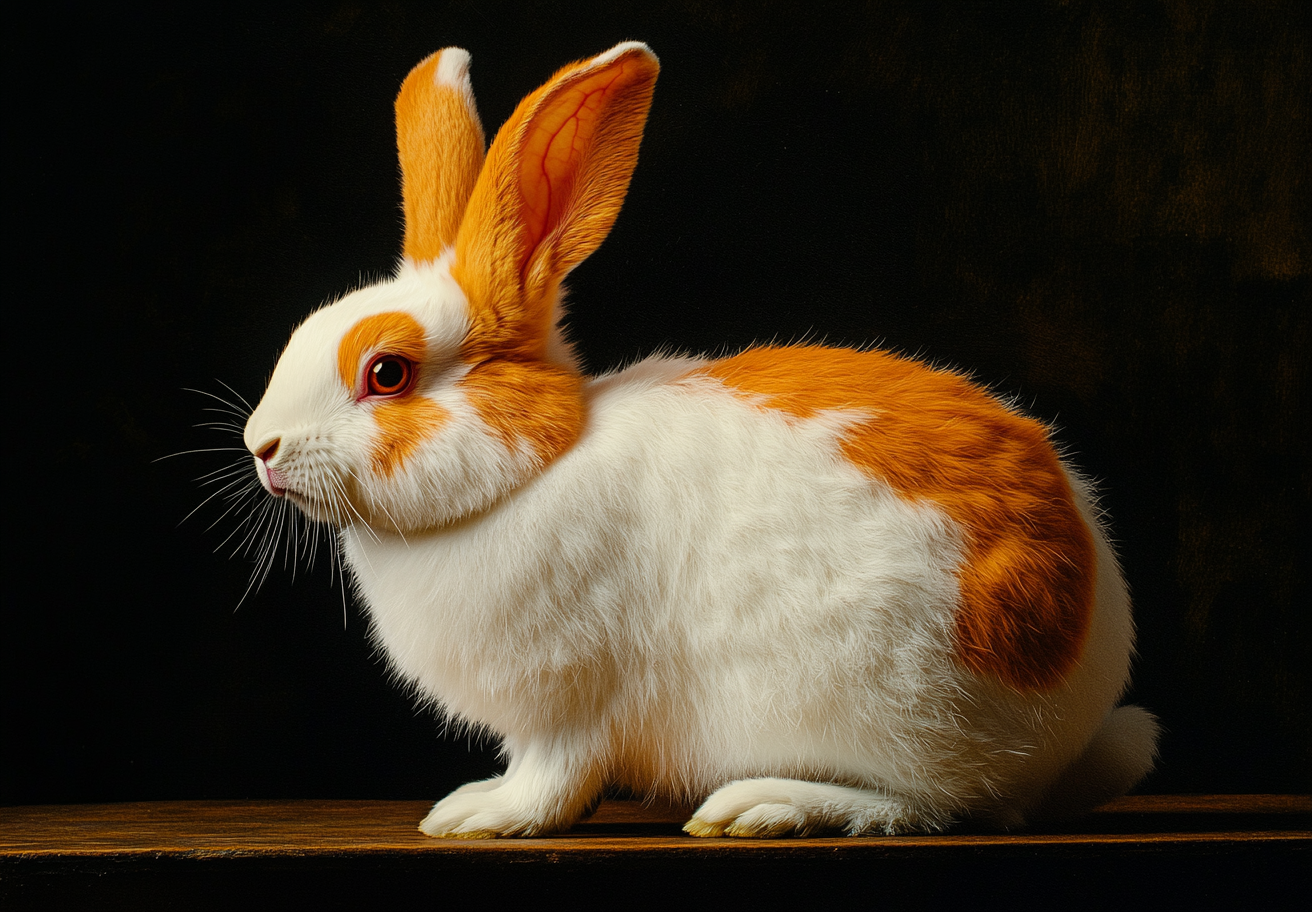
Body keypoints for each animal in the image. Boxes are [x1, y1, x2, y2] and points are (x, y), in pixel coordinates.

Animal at [241, 44, 1154, 839]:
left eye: (386, 373)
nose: (261, 446)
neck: (527, 472)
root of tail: (1078, 675)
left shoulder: (572, 705)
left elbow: (553, 780)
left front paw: (479, 816)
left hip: (890, 702)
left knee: (939, 805)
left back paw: (768, 806)